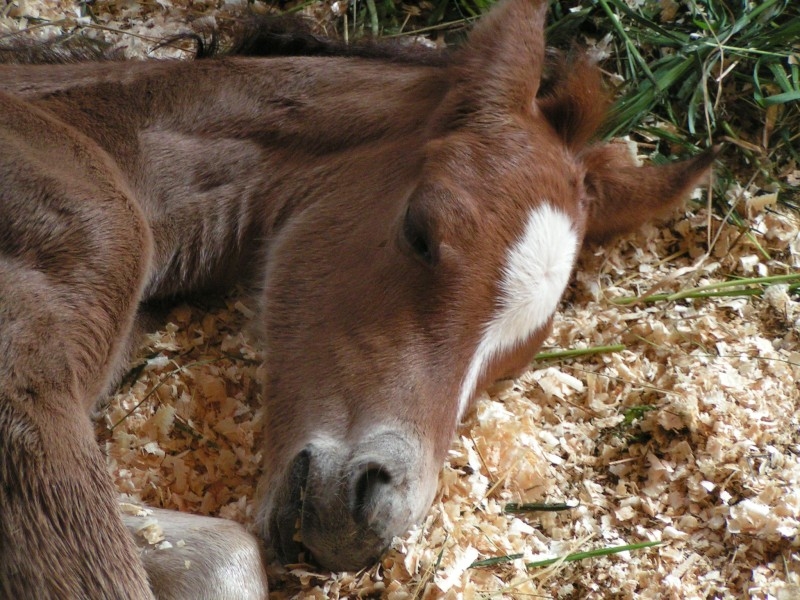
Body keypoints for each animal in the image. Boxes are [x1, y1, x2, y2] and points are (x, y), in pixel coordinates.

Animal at [0, 0, 712, 596]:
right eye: (420, 232)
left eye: (510, 362)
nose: (372, 517)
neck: (93, 140)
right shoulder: (29, 391)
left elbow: (221, 553)